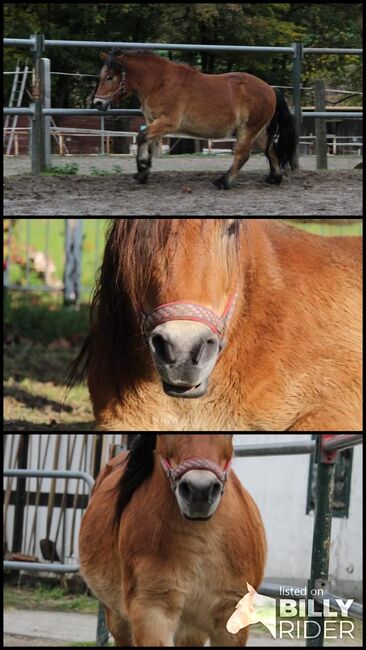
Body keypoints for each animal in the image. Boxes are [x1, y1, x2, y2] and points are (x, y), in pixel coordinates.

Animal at [93, 49, 296, 189]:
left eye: (110, 77)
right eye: (101, 76)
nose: (98, 103)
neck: (159, 82)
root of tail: (270, 89)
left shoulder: (167, 122)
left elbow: (141, 137)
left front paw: (142, 168)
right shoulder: (153, 122)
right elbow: (147, 143)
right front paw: (143, 173)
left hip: (248, 129)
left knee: (242, 154)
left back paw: (223, 181)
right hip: (258, 132)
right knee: (270, 150)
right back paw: (274, 178)